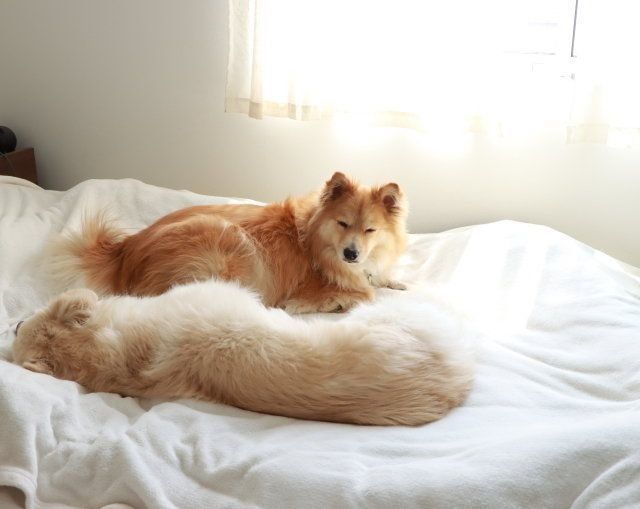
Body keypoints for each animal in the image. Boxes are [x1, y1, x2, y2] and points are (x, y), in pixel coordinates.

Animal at [49, 172, 408, 313]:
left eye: (370, 230)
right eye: (343, 223)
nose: (351, 253)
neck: (313, 240)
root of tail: (124, 251)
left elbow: (378, 281)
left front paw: (395, 281)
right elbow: (364, 293)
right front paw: (336, 301)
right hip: (230, 242)